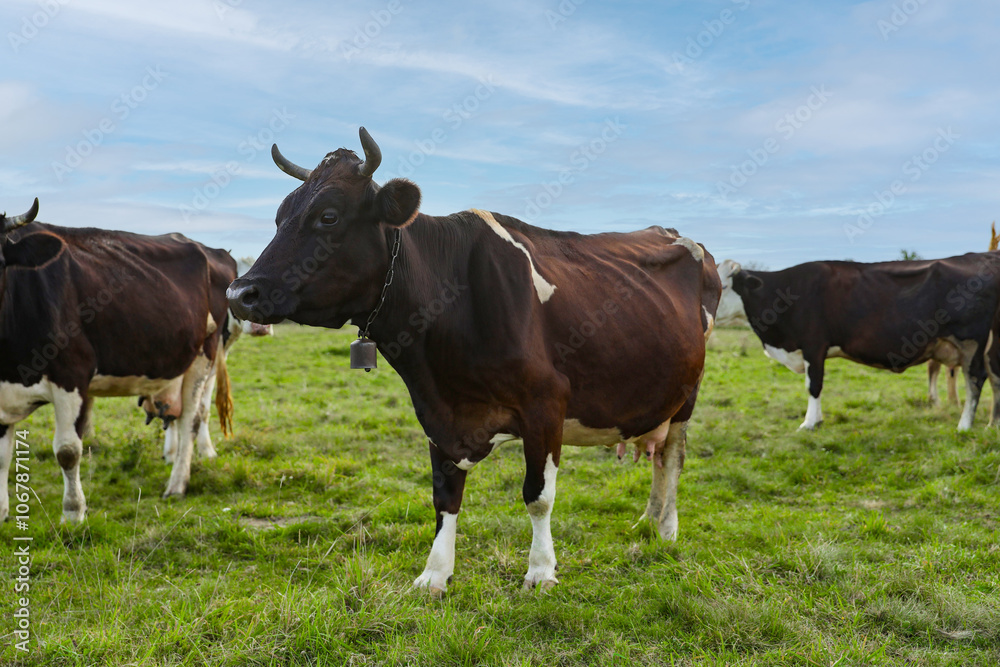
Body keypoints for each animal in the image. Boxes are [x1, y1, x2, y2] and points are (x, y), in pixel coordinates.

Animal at [0, 199, 237, 523]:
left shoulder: (72, 373)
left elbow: (67, 450)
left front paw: (73, 513)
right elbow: (2, 456)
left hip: (205, 354)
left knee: (191, 418)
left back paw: (177, 485)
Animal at [227, 127, 721, 594]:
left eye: (327, 216)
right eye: (278, 218)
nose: (238, 293)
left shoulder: (546, 404)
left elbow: (538, 496)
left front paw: (540, 571)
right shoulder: (437, 413)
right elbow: (445, 497)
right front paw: (434, 574)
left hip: (687, 394)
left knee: (672, 459)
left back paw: (667, 530)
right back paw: (647, 523)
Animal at [729, 254, 1000, 432]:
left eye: (724, 285)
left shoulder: (813, 345)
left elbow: (813, 385)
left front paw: (809, 423)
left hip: (970, 340)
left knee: (975, 380)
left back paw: (964, 426)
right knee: (995, 378)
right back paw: (992, 423)